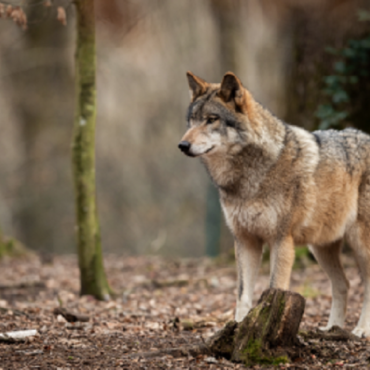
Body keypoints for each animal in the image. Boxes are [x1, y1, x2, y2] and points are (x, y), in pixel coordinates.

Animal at [178, 71, 370, 336]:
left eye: (211, 120)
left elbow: (273, 288)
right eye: (192, 121)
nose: (182, 145)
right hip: (321, 248)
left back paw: (361, 330)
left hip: (360, 244)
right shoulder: (245, 240)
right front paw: (239, 328)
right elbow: (242, 296)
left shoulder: (281, 240)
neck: (248, 178)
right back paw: (332, 329)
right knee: (344, 284)